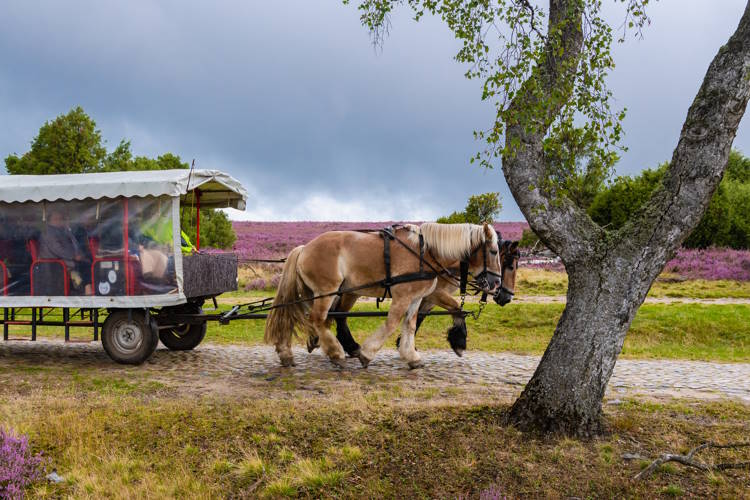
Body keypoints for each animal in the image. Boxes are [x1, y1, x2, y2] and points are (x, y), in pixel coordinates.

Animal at [264, 223, 506, 368]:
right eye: (493, 251)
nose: (496, 284)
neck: (425, 253)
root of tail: (304, 248)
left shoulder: (416, 298)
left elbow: (410, 325)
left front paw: (411, 356)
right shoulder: (403, 297)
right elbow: (392, 323)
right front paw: (367, 353)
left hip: (317, 293)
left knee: (295, 317)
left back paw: (288, 352)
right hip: (326, 292)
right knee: (317, 319)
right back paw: (335, 352)